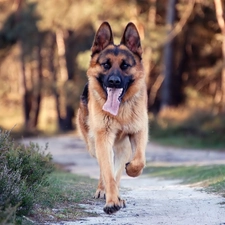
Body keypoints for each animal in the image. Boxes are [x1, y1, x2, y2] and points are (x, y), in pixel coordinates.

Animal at [76, 21, 149, 214]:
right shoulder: (103, 139)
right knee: (105, 169)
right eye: (106, 64)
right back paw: (105, 192)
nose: (114, 82)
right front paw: (111, 201)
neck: (120, 112)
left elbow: (139, 161)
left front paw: (132, 170)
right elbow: (108, 173)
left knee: (117, 170)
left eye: (125, 66)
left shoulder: (139, 132)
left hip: (122, 149)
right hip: (94, 145)